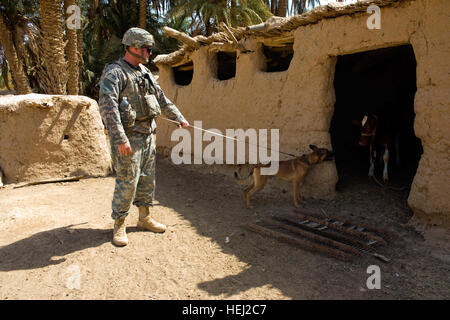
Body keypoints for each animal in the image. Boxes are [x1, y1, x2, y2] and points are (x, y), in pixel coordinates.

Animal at [330, 45, 422, 192]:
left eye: (368, 126)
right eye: (360, 126)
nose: (361, 142)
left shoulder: (387, 139)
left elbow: (386, 157)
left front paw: (385, 175)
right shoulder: (372, 141)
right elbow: (371, 157)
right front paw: (371, 172)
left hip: (397, 130)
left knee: (396, 144)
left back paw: (397, 160)